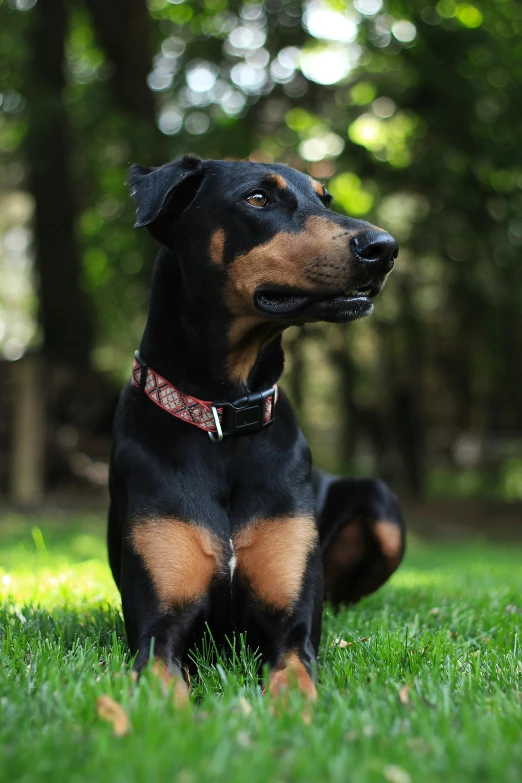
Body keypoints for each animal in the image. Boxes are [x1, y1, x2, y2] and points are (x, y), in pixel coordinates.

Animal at [107, 156, 404, 700]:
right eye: (258, 199)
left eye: (326, 199)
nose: (385, 248)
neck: (224, 414)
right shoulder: (159, 628)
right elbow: (161, 685)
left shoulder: (293, 629)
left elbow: (296, 678)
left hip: (382, 504)